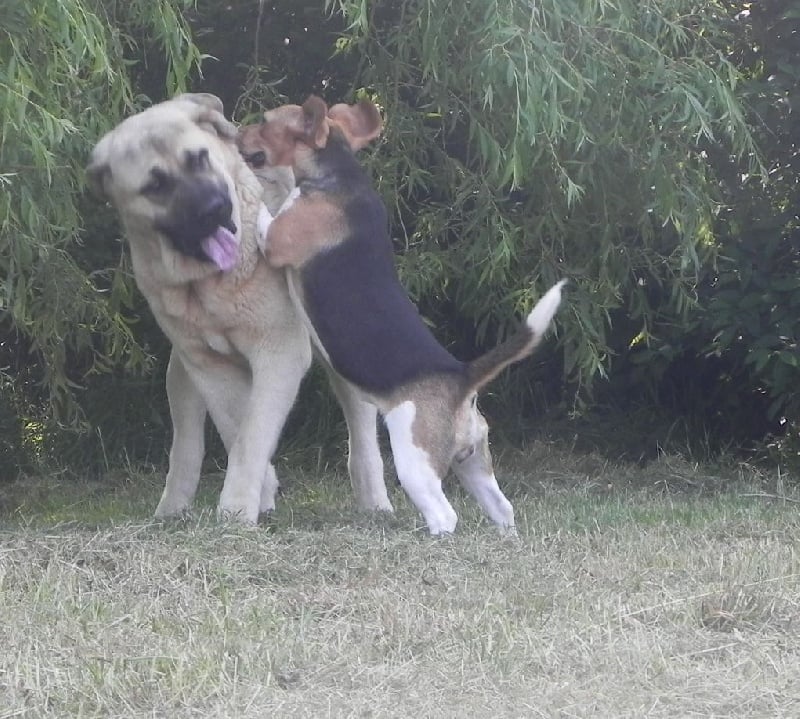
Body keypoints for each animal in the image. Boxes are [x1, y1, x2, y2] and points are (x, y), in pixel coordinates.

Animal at [86, 93, 392, 523]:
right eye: (156, 185)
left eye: (200, 158)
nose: (215, 208)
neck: (206, 284)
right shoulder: (208, 365)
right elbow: (239, 429)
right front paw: (257, 496)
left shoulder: (278, 354)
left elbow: (252, 434)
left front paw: (236, 510)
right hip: (180, 375)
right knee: (187, 445)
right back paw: (172, 509)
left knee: (362, 436)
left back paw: (376, 503)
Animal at [237, 95, 565, 535]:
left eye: (265, 121)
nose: (237, 130)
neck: (340, 173)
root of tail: (461, 377)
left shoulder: (276, 239)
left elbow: (262, 211)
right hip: (475, 463)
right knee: (503, 507)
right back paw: (506, 537)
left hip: (413, 459)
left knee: (446, 514)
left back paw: (434, 536)